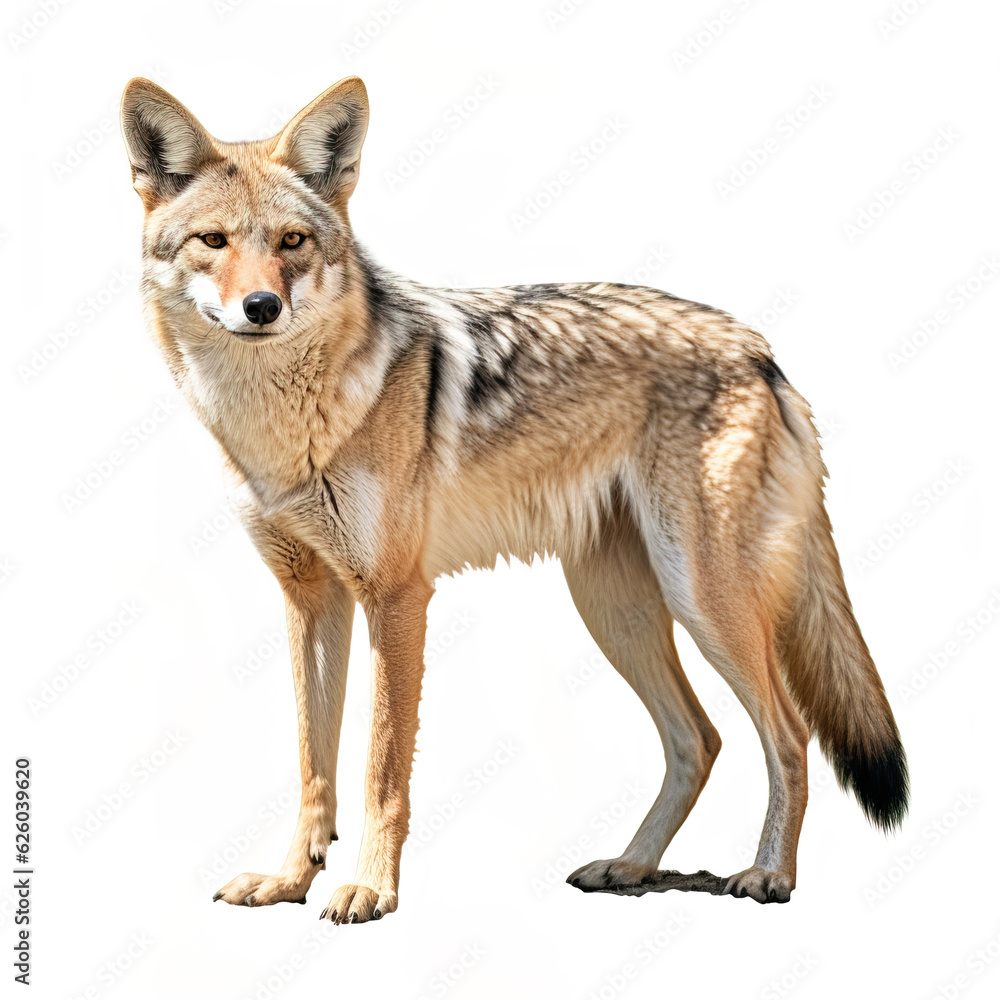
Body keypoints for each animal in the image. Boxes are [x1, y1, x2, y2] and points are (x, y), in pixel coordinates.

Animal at [119, 76, 908, 923]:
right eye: (214, 241)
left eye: (293, 242)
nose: (262, 306)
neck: (289, 426)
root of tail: (762, 352)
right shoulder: (311, 598)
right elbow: (312, 764)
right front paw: (291, 880)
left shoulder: (396, 597)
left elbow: (379, 769)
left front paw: (368, 887)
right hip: (617, 611)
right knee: (700, 739)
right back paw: (630, 865)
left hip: (703, 601)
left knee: (788, 735)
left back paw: (767, 874)